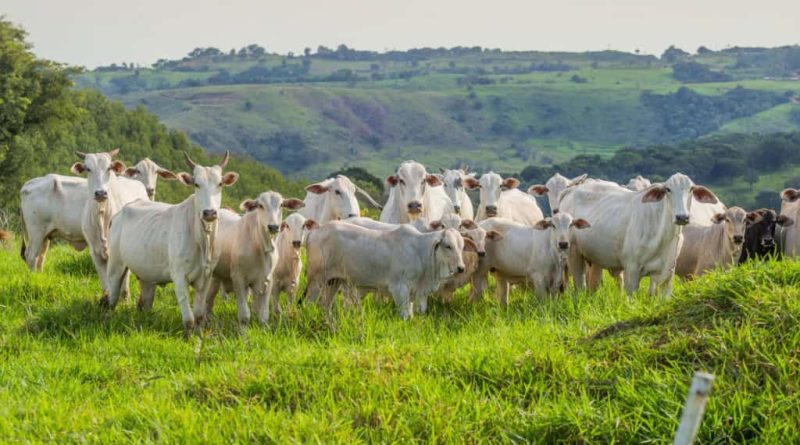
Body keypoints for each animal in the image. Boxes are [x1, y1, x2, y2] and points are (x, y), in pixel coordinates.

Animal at [70, 149, 149, 297]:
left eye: (109, 168)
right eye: (88, 169)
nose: (100, 193)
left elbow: (124, 284)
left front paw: (126, 298)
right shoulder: (96, 254)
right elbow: (105, 284)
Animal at [104, 151, 239, 335]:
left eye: (220, 184)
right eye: (196, 184)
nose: (209, 213)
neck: (202, 240)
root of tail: (120, 213)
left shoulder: (205, 278)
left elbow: (199, 316)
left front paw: (199, 336)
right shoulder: (179, 277)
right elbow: (189, 319)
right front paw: (189, 336)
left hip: (146, 274)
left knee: (144, 302)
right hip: (116, 264)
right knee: (112, 295)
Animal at [203, 192, 305, 325]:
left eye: (281, 205)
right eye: (260, 205)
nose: (273, 227)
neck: (260, 247)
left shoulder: (267, 281)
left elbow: (263, 315)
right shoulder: (239, 279)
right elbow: (244, 316)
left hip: (217, 277)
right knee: (206, 300)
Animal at [305, 223, 471, 319]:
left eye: (462, 246)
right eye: (448, 246)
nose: (461, 268)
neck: (420, 251)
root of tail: (314, 232)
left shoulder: (414, 292)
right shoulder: (399, 288)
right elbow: (405, 315)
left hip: (333, 282)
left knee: (325, 305)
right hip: (316, 281)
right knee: (309, 304)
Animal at [565, 173, 719, 296]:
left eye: (691, 189)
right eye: (668, 189)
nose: (682, 217)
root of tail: (571, 190)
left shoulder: (667, 275)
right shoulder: (631, 271)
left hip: (595, 258)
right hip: (573, 254)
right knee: (579, 284)